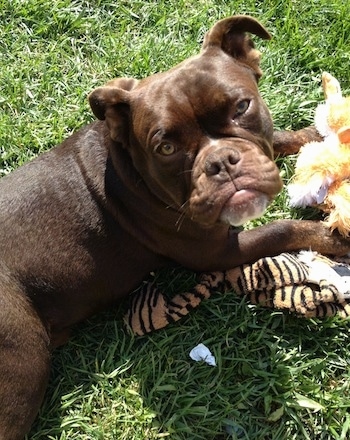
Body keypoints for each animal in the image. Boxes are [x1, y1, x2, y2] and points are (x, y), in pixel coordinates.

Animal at [0, 15, 348, 438]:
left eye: (242, 106)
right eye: (165, 148)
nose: (220, 162)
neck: (126, 164)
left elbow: (281, 138)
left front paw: (315, 136)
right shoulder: (217, 251)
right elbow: (283, 229)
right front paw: (336, 238)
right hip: (24, 355)